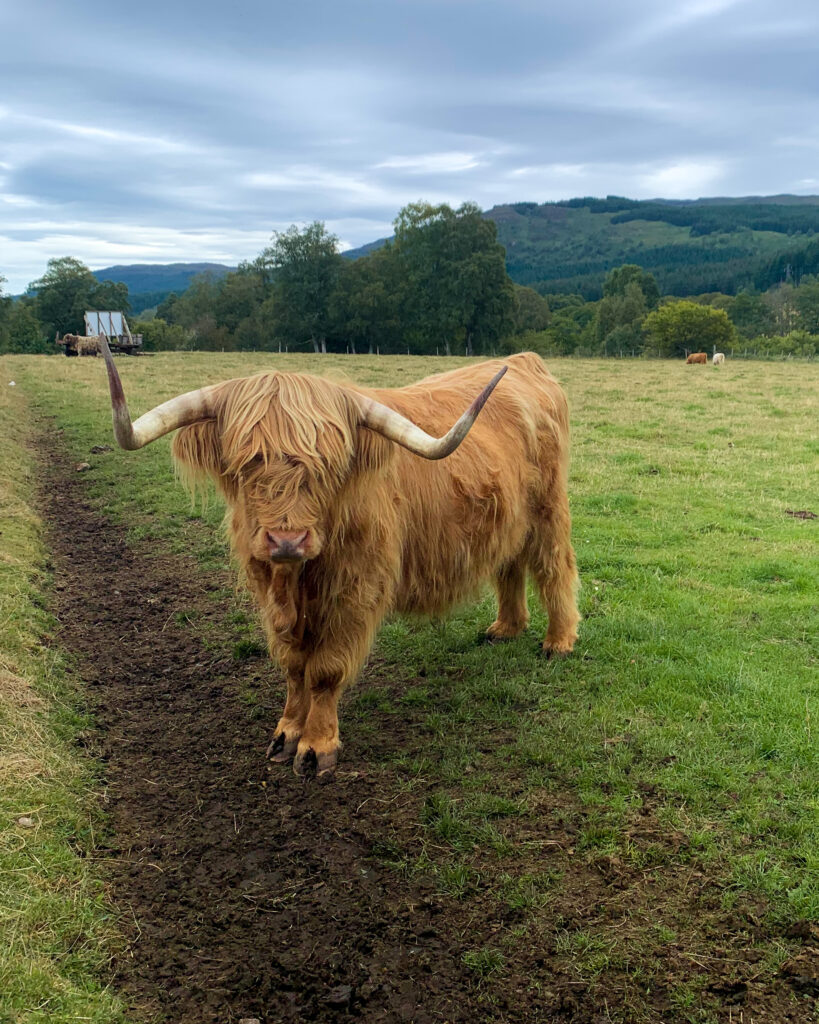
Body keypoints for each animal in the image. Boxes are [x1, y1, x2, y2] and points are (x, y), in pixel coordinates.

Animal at [100, 346, 581, 774]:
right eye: (245, 463)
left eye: (327, 467)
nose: (287, 538)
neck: (297, 579)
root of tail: (524, 361)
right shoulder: (268, 588)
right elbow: (294, 666)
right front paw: (285, 733)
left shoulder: (354, 590)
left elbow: (325, 670)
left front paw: (316, 747)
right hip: (508, 517)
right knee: (510, 564)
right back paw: (506, 628)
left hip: (548, 509)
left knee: (555, 567)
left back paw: (558, 641)